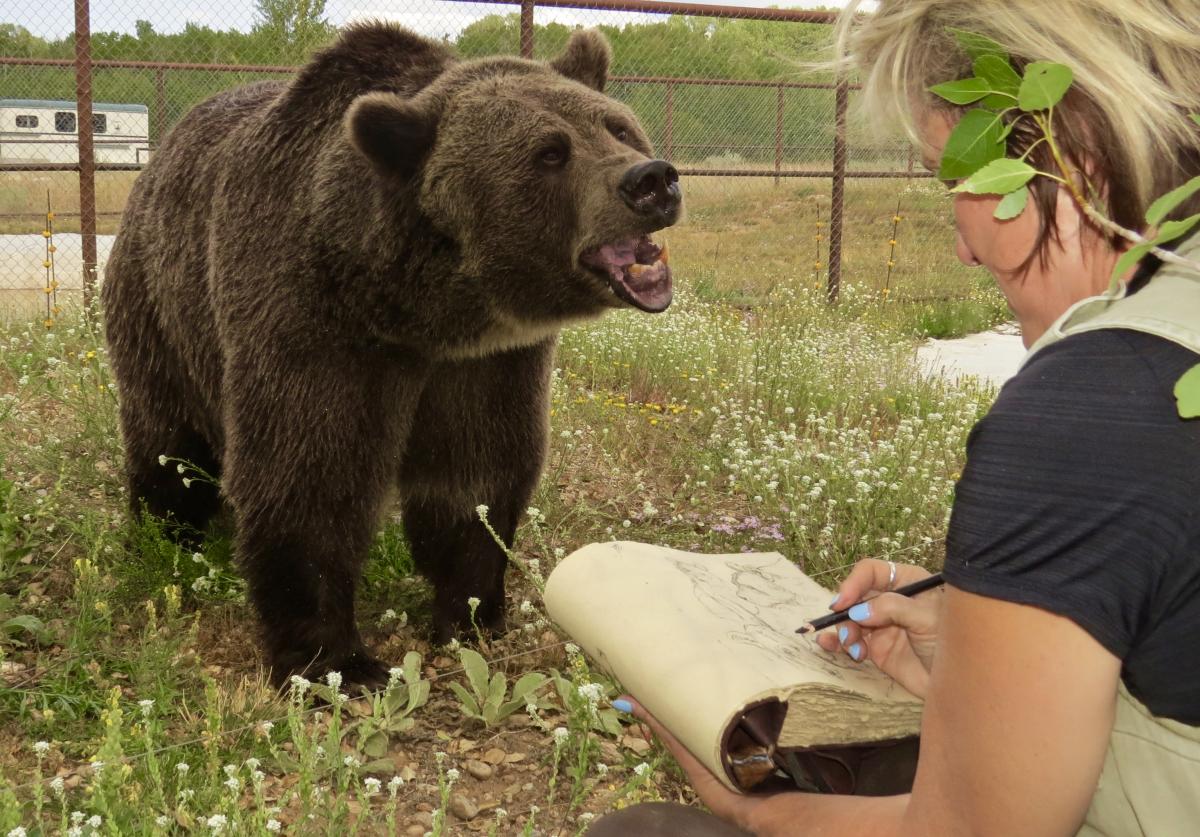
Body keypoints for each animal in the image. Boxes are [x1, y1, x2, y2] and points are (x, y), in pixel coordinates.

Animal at [101, 22, 681, 688]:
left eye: (617, 127)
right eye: (550, 153)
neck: (421, 310)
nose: (651, 180)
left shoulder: (488, 362)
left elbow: (476, 472)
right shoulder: (313, 322)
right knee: (165, 439)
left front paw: (472, 612)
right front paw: (336, 660)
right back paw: (164, 535)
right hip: (159, 302)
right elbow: (309, 477)